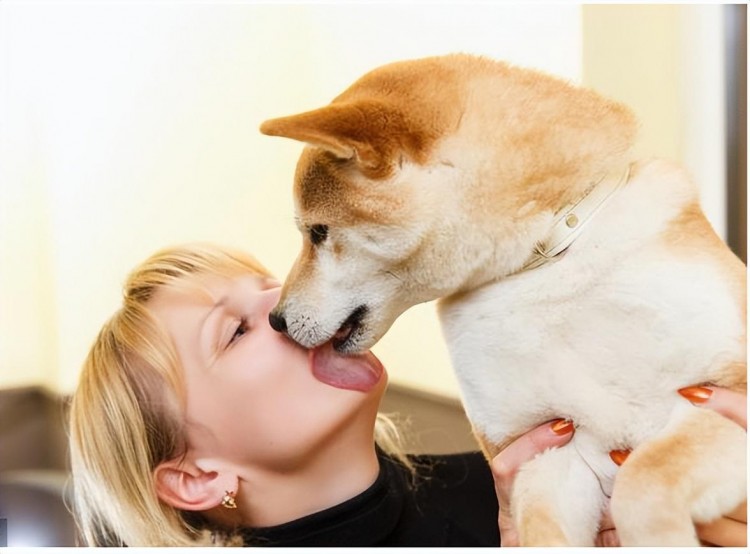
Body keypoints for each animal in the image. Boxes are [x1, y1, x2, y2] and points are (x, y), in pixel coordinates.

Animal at [262, 54, 748, 544]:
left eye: (317, 232)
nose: (276, 320)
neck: (544, 266)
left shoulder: (721, 395)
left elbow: (644, 478)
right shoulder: (548, 455)